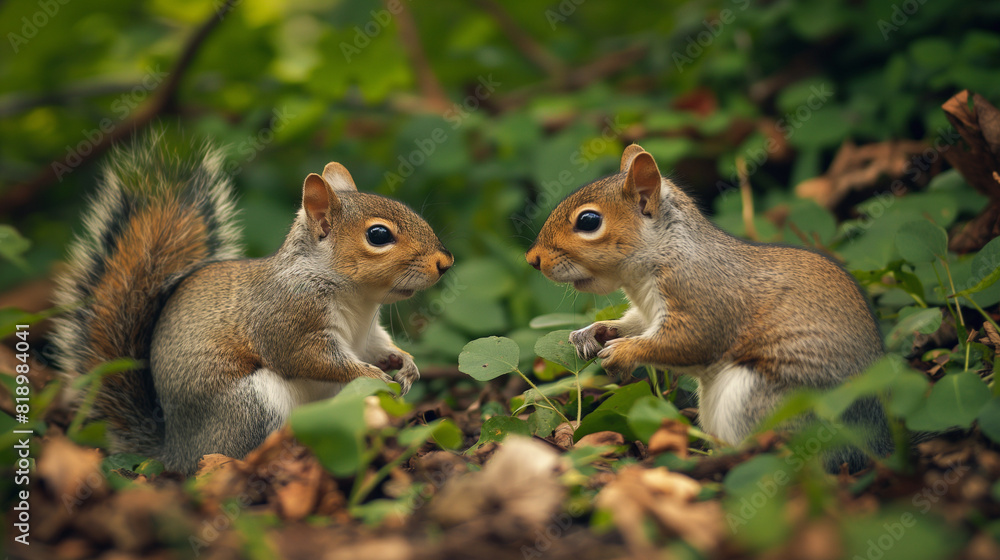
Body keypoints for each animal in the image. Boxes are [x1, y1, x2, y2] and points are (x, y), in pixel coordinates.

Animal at [51, 137, 453, 474]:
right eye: (378, 235)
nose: (445, 262)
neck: (358, 300)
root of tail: (175, 452)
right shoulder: (289, 320)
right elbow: (311, 359)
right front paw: (373, 377)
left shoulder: (366, 335)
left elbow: (379, 346)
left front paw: (406, 366)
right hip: (252, 406)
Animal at [525, 143, 892, 472]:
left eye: (589, 221)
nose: (533, 260)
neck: (659, 257)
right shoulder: (647, 311)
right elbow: (634, 324)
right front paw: (591, 333)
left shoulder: (702, 297)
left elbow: (691, 340)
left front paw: (622, 352)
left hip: (767, 400)